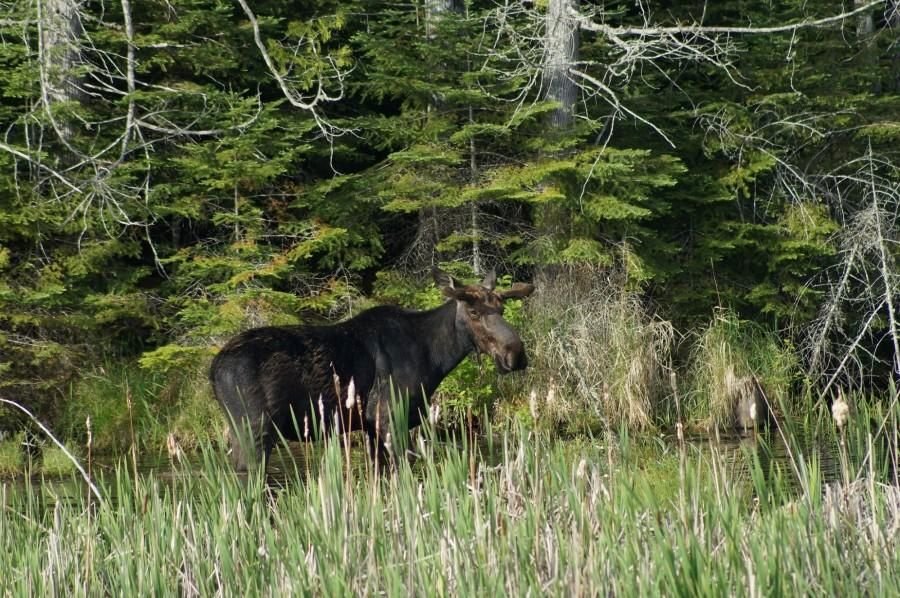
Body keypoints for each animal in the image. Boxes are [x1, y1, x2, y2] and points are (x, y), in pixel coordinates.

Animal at [211, 270, 536, 474]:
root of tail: (213, 371)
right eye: (473, 312)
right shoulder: (390, 417)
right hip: (255, 429)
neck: (435, 358)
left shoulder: (369, 426)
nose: (516, 354)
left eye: (502, 309)